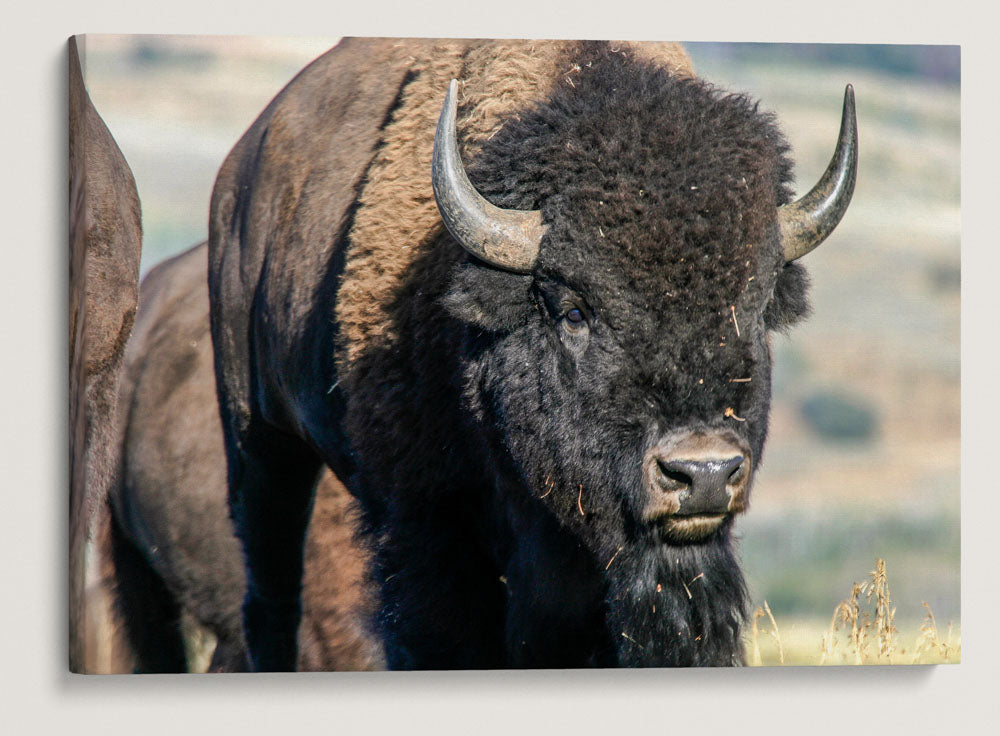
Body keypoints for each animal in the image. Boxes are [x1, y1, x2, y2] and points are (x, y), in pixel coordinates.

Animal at [207, 40, 856, 672]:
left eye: (754, 308)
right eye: (573, 311)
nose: (703, 473)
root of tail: (239, 174)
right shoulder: (427, 524)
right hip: (260, 444)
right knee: (270, 588)